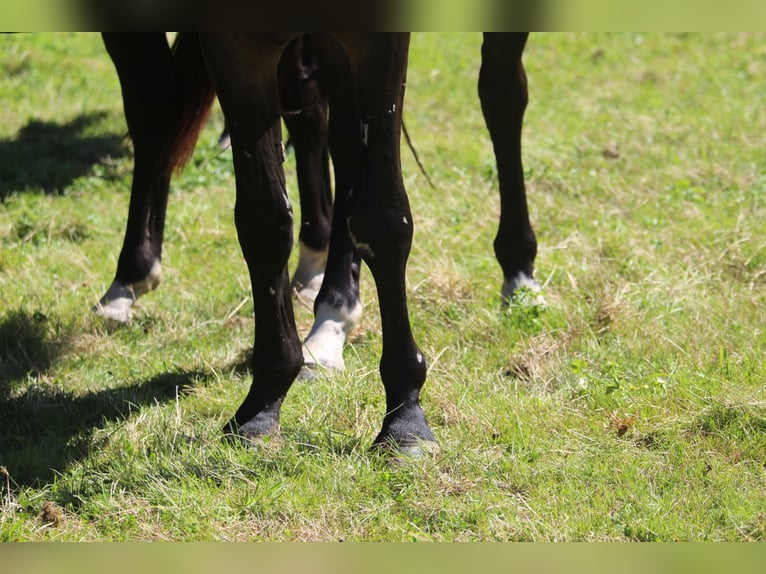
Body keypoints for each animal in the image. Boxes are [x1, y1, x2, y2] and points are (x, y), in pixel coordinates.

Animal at [96, 32, 540, 454]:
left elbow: (382, 216)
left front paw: (406, 421)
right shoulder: (232, 47)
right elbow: (263, 219)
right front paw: (262, 406)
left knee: (502, 91)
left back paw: (518, 269)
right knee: (339, 140)